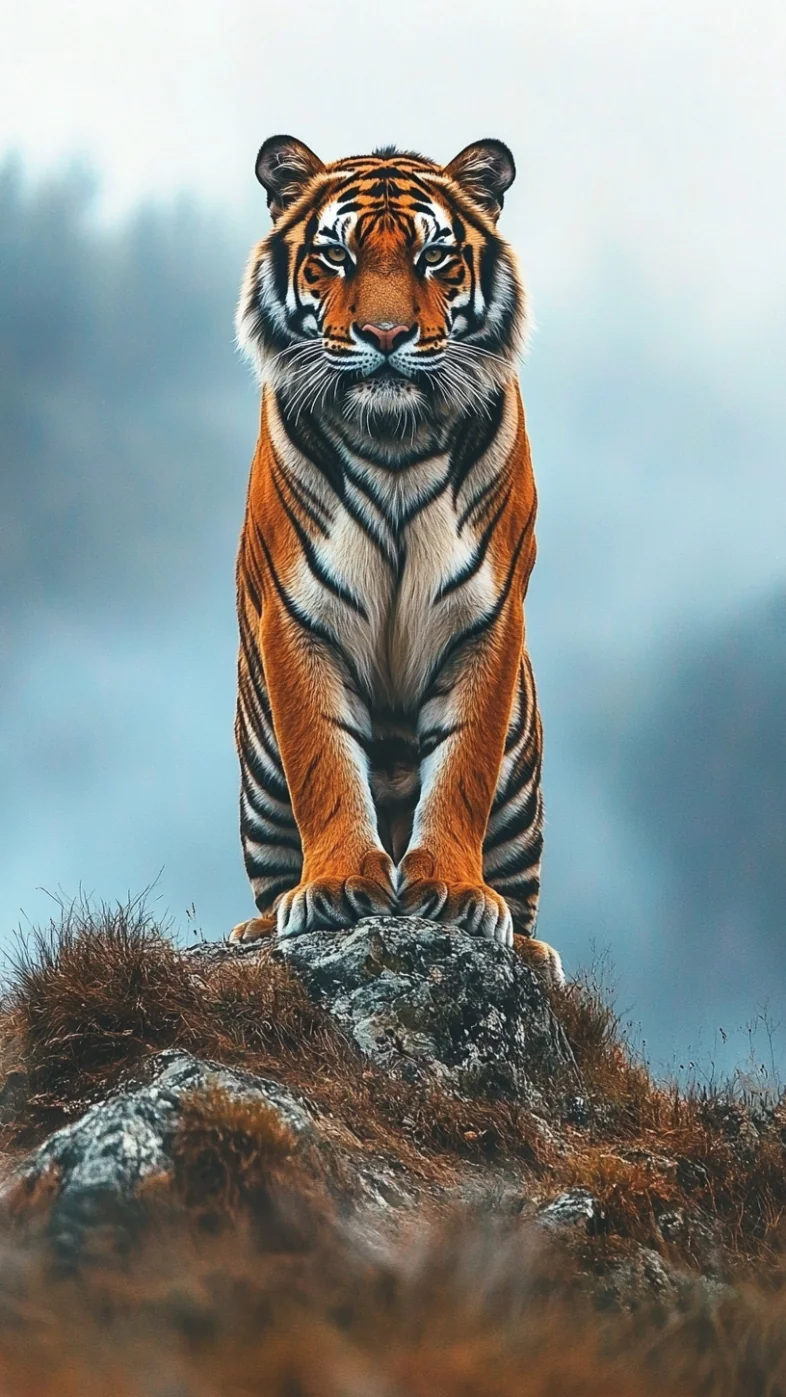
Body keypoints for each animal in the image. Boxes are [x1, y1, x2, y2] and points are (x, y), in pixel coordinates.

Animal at [229, 133, 563, 986]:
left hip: (524, 788)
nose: (384, 336)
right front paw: (339, 886)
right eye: (336, 256)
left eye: (434, 256)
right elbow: (323, 759)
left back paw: (531, 946)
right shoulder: (299, 616)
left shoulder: (486, 617)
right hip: (259, 783)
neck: (394, 441)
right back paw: (258, 926)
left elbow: (463, 764)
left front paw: (454, 895)